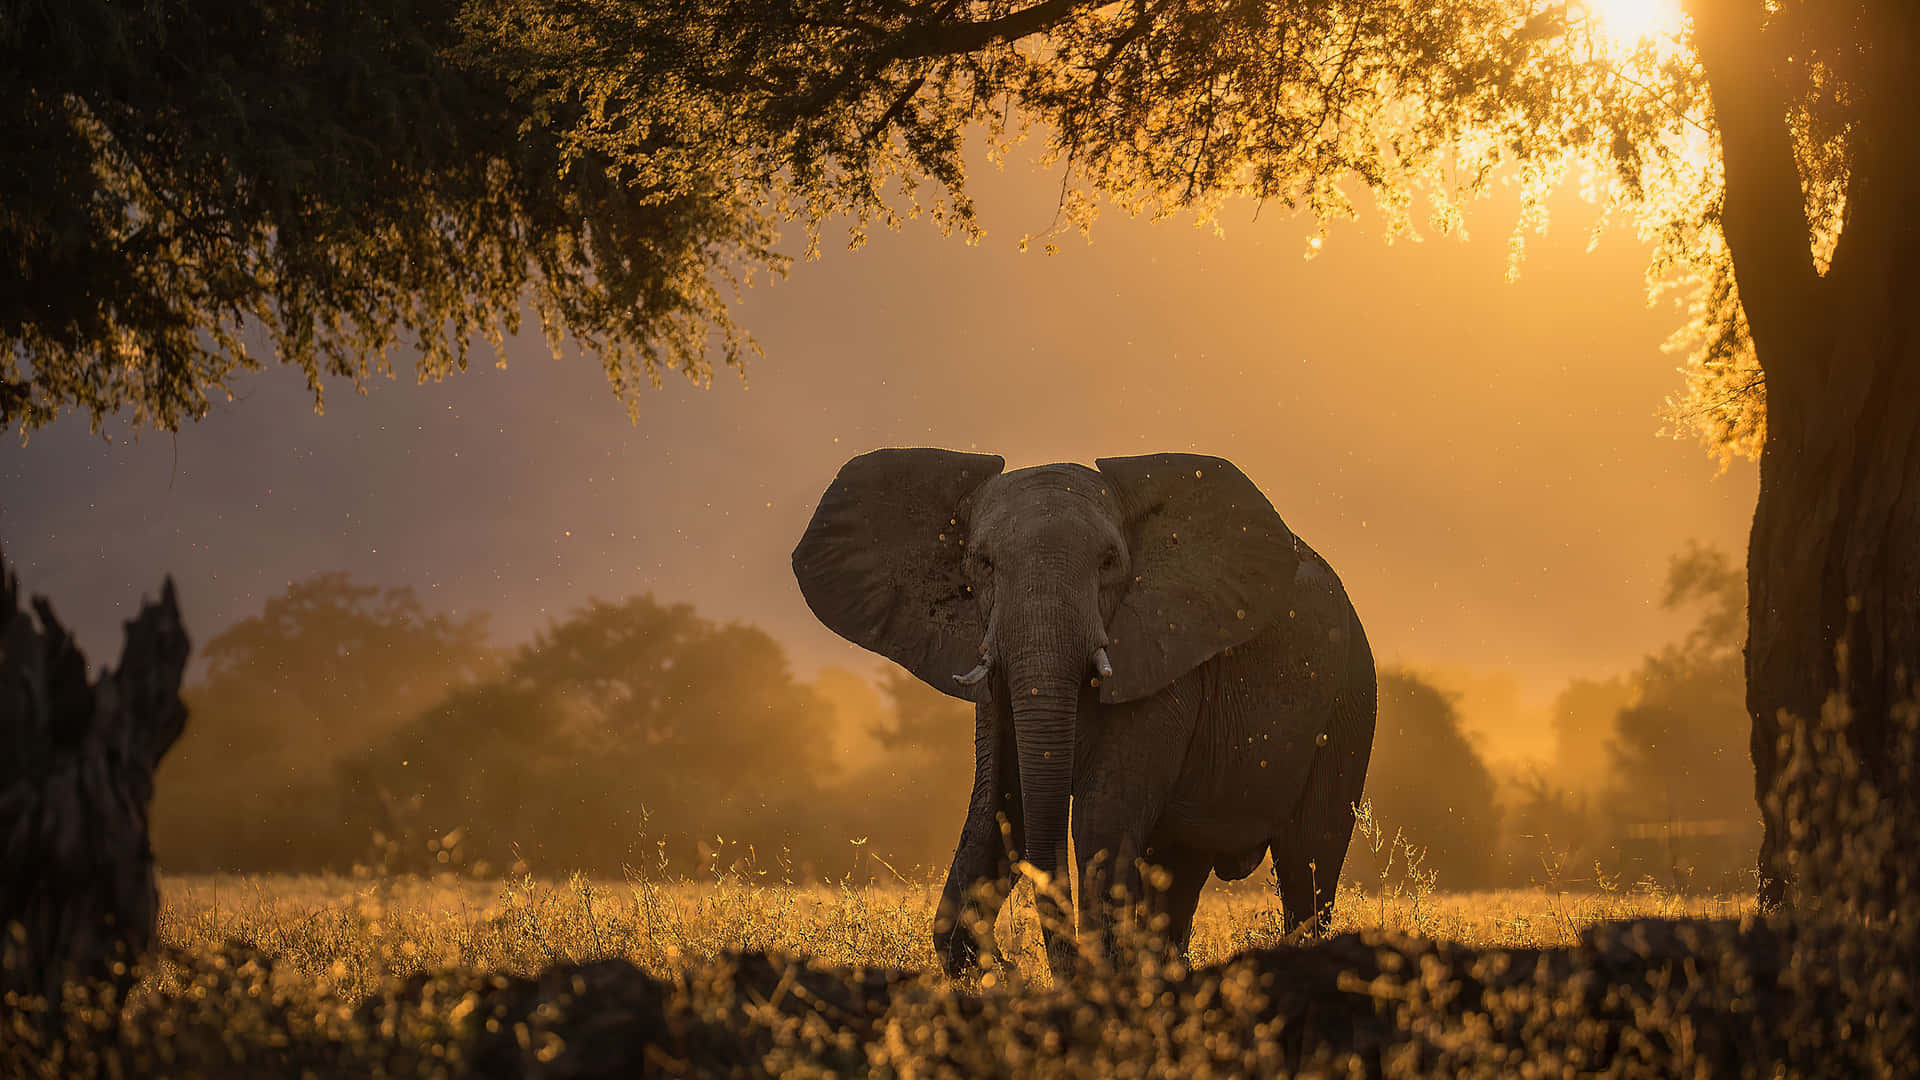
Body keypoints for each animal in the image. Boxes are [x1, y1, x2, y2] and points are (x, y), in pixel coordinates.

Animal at [787, 445, 1374, 976]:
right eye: (982, 564)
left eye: (1110, 563)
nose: (1006, 962)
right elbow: (1000, 804)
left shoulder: (1162, 660)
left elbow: (1101, 815)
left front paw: (1097, 972)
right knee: (1179, 867)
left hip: (1350, 698)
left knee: (1308, 862)